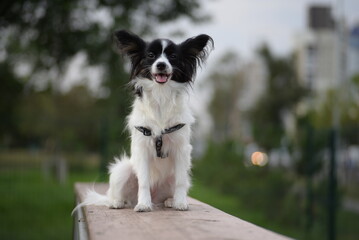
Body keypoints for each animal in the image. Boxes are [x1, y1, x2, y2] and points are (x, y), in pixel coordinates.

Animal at [74, 29, 212, 212]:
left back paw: (170, 200)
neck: (161, 96)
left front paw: (180, 202)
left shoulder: (181, 150)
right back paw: (117, 202)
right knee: (118, 195)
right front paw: (144, 204)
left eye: (173, 57)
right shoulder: (143, 150)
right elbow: (144, 182)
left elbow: (181, 182)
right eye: (151, 55)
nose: (161, 65)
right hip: (123, 169)